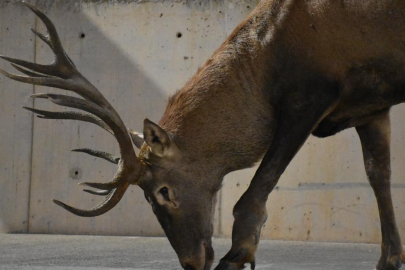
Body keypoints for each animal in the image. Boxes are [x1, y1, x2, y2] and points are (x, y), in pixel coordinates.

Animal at [0, 0, 404, 268]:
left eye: (162, 191)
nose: (192, 262)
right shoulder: (370, 106)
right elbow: (378, 176)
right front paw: (390, 258)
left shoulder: (311, 96)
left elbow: (254, 193)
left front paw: (236, 256)